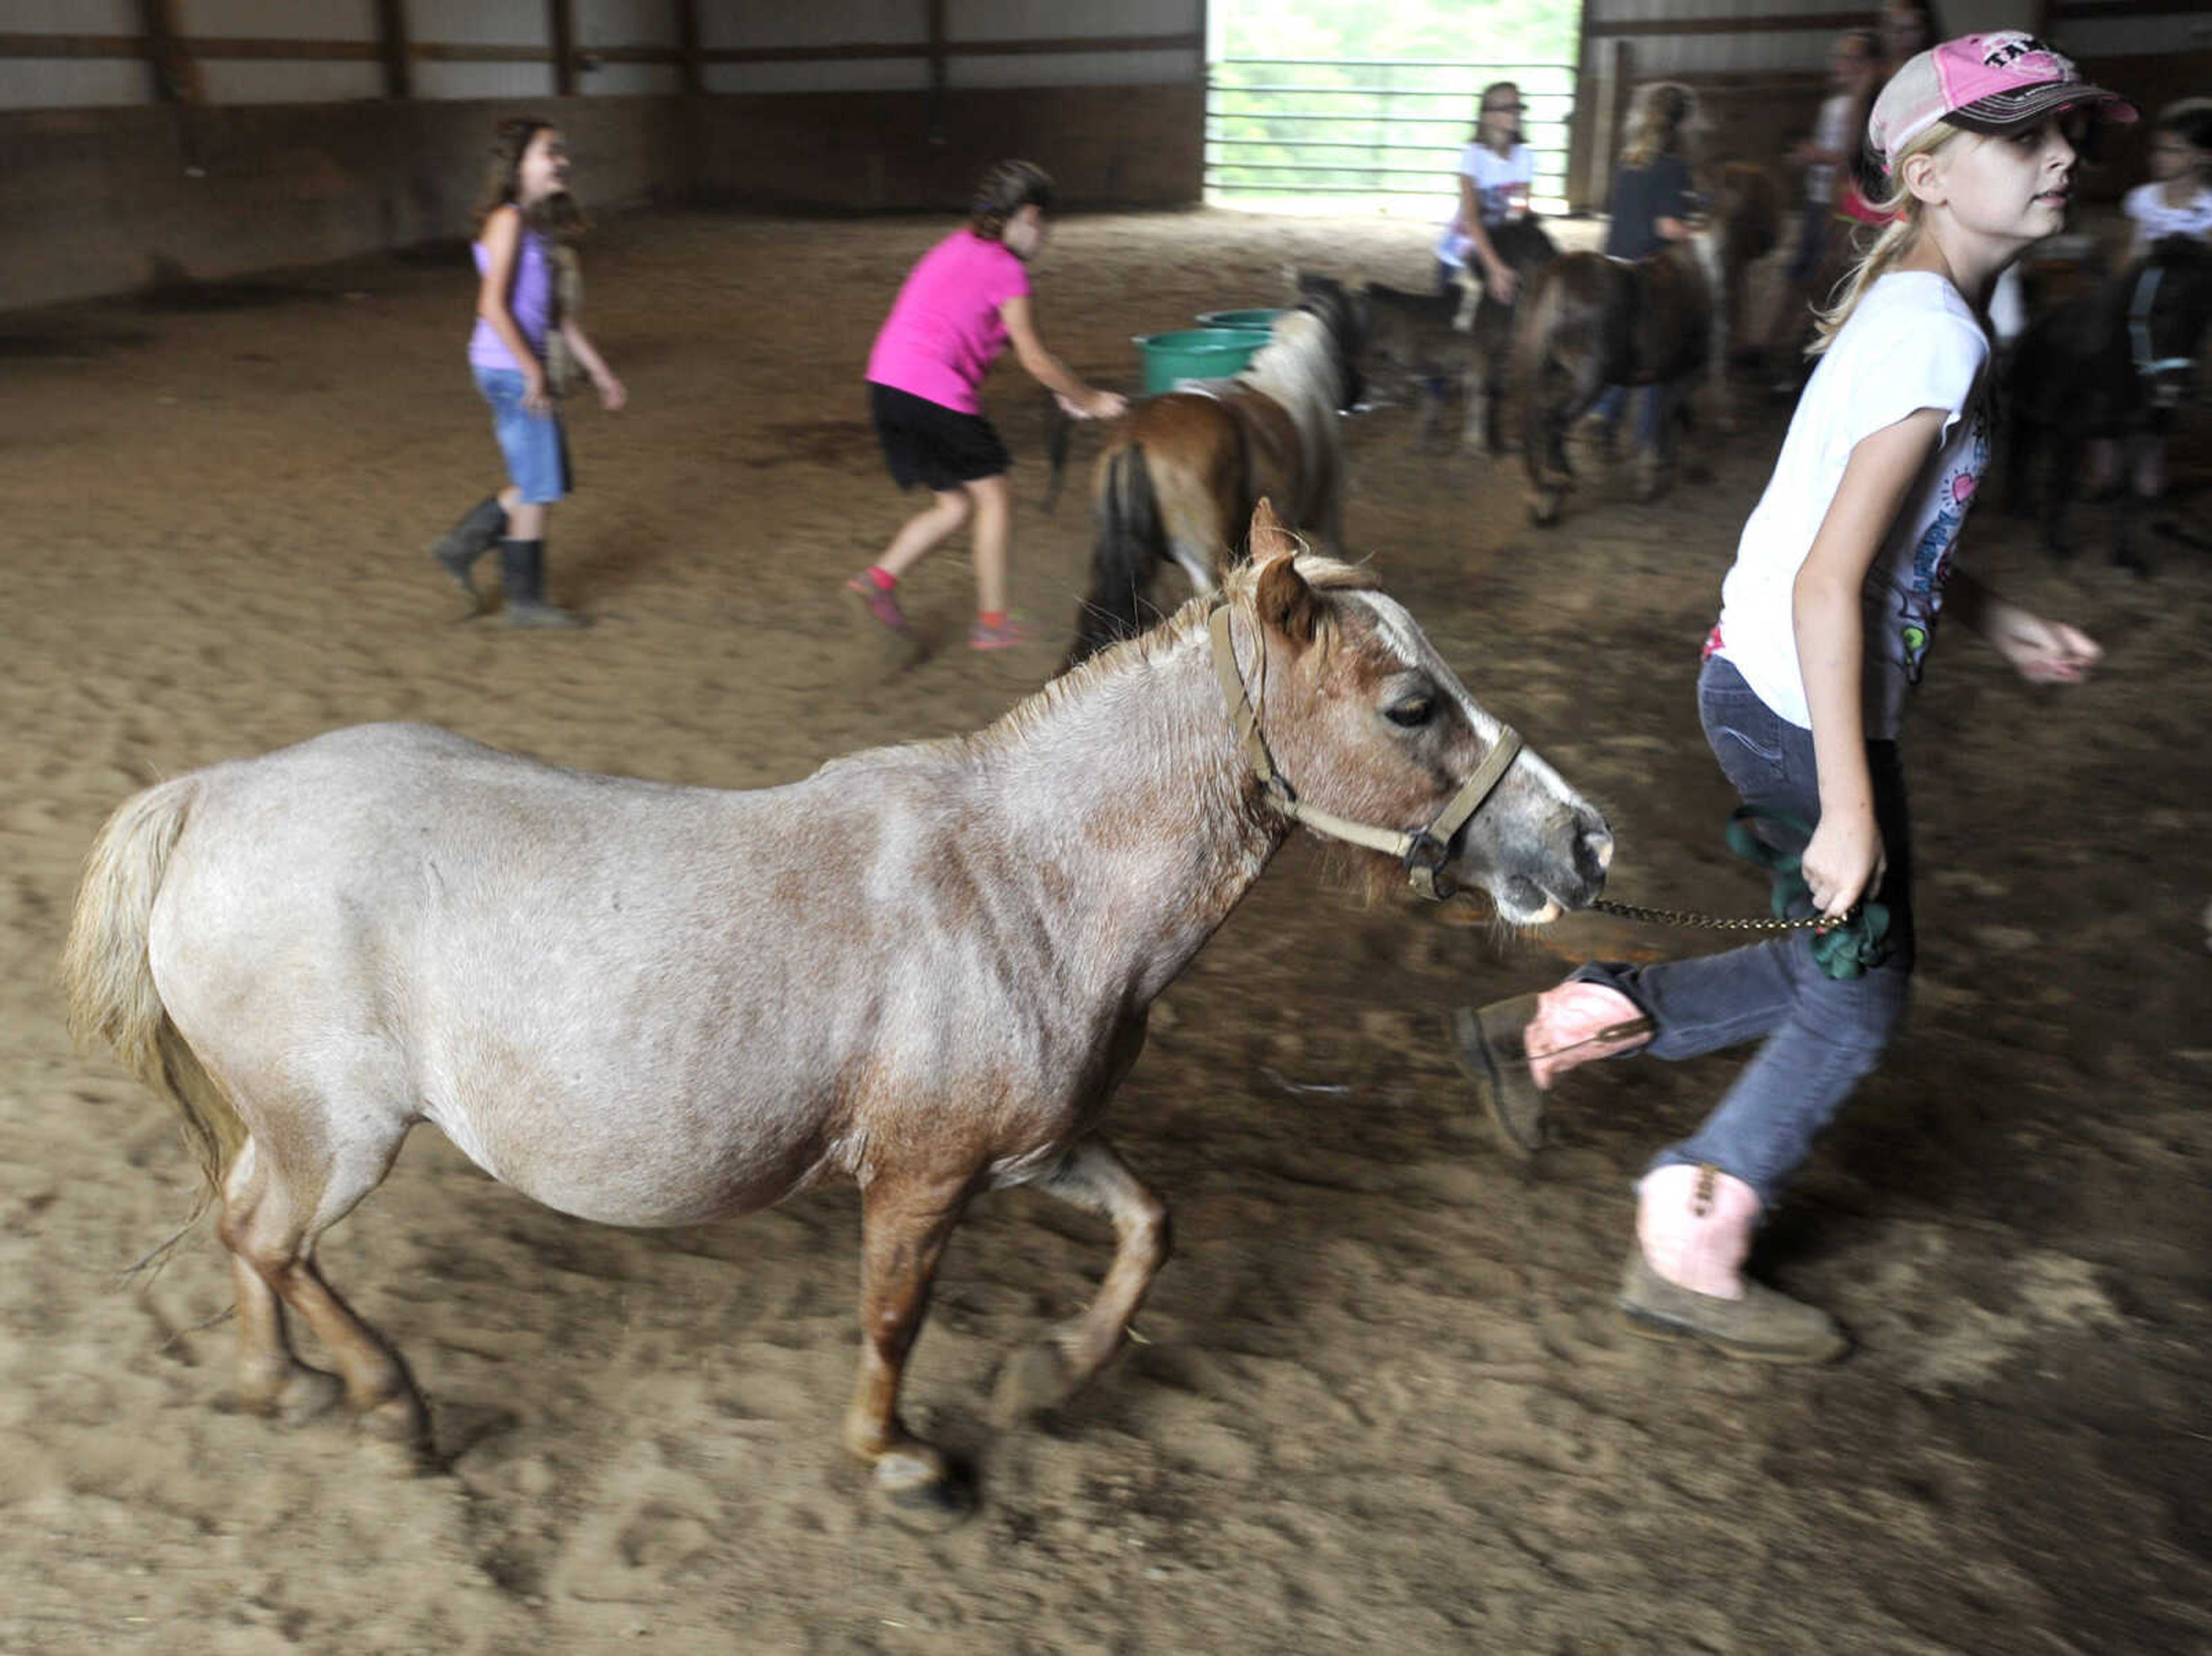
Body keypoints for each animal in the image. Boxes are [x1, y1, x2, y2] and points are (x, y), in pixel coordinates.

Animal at [65, 499, 1610, 1521]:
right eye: (1410, 704)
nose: (1584, 841)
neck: (1023, 881)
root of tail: (213, 795)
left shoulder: (1040, 1149)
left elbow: (1150, 1230)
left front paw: (1049, 1376)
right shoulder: (922, 1177)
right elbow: (891, 1316)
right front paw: (901, 1455)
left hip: (295, 1127)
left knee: (244, 1232)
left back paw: (282, 1388)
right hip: (340, 1133)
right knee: (275, 1240)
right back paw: (391, 1408)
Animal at [1513, 160, 1787, 524]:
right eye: (1766, 196)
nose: (1776, 239)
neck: (1711, 269)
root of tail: (1560, 276)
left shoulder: (1672, 373)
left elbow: (1677, 417)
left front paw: (1667, 465)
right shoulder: (1690, 371)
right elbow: (1672, 418)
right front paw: (1661, 475)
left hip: (1550, 369)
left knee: (1541, 420)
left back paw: (1544, 488)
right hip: (1590, 378)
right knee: (1554, 423)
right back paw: (1557, 487)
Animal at [2008, 229, 2212, 570]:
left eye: (2203, 315)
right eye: (2162, 307)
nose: (2173, 390)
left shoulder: (2136, 433)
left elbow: (2128, 494)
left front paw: (2126, 557)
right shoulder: (2071, 429)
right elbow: (2063, 484)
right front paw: (2056, 546)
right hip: (2025, 412)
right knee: (2020, 455)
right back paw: (2018, 510)